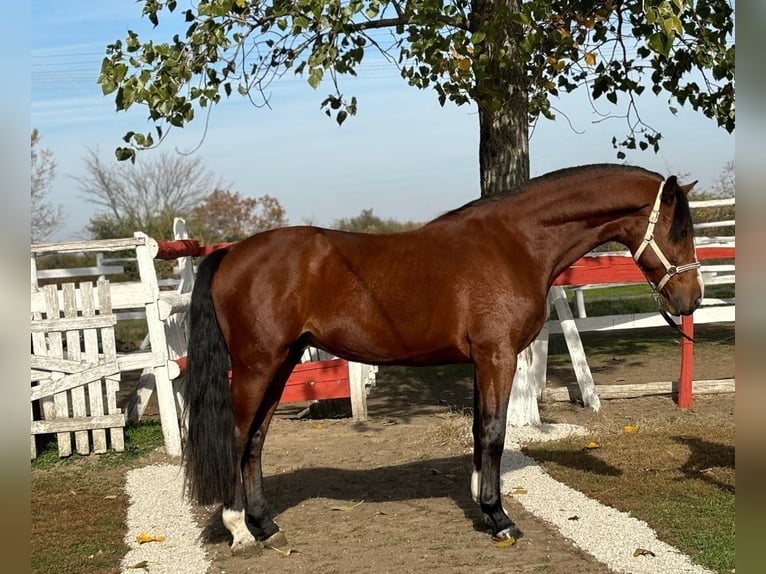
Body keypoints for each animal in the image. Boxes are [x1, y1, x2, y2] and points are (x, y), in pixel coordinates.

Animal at [183, 164, 704, 556]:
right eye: (677, 230)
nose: (691, 299)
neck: (515, 243)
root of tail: (231, 253)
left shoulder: (481, 359)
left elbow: (479, 428)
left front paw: (481, 502)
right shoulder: (497, 355)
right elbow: (494, 431)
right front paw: (499, 517)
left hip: (283, 363)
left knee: (255, 442)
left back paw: (267, 525)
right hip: (256, 366)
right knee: (237, 437)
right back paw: (240, 529)